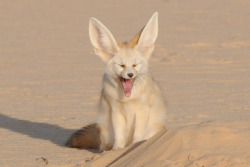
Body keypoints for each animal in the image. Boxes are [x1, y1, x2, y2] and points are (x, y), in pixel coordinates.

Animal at [67, 12, 167, 150]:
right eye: (121, 65)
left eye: (135, 65)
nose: (130, 74)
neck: (128, 99)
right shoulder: (115, 110)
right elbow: (119, 136)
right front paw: (117, 149)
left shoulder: (142, 110)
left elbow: (138, 135)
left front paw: (136, 145)